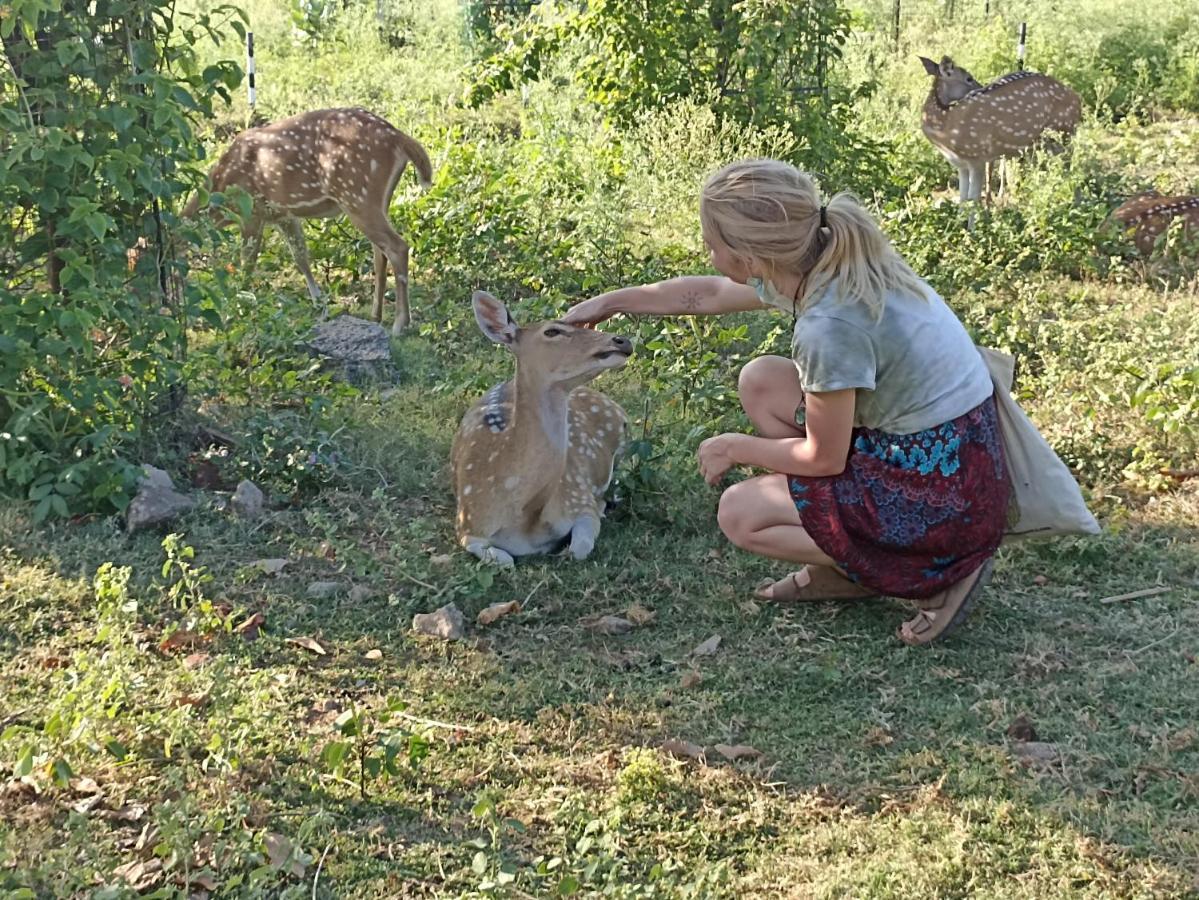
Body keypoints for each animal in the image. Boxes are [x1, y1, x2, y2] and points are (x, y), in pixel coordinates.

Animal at [182, 108, 431, 335]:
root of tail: (398, 137)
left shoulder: (252, 211)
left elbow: (247, 263)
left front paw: (236, 310)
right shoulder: (283, 215)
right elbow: (301, 257)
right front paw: (321, 306)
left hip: (356, 195)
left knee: (397, 247)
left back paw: (399, 324)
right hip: (375, 201)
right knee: (380, 252)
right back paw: (375, 315)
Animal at [450, 292, 637, 565]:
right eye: (552, 331)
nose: (622, 340)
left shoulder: (578, 498)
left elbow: (578, 549)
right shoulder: (468, 523)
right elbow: (505, 560)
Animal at [916, 57, 1088, 208]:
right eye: (969, 78)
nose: (981, 86)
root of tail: (1078, 99)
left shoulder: (977, 158)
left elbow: (973, 202)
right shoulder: (960, 164)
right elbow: (964, 201)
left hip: (1065, 131)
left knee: (1072, 167)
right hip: (1043, 142)